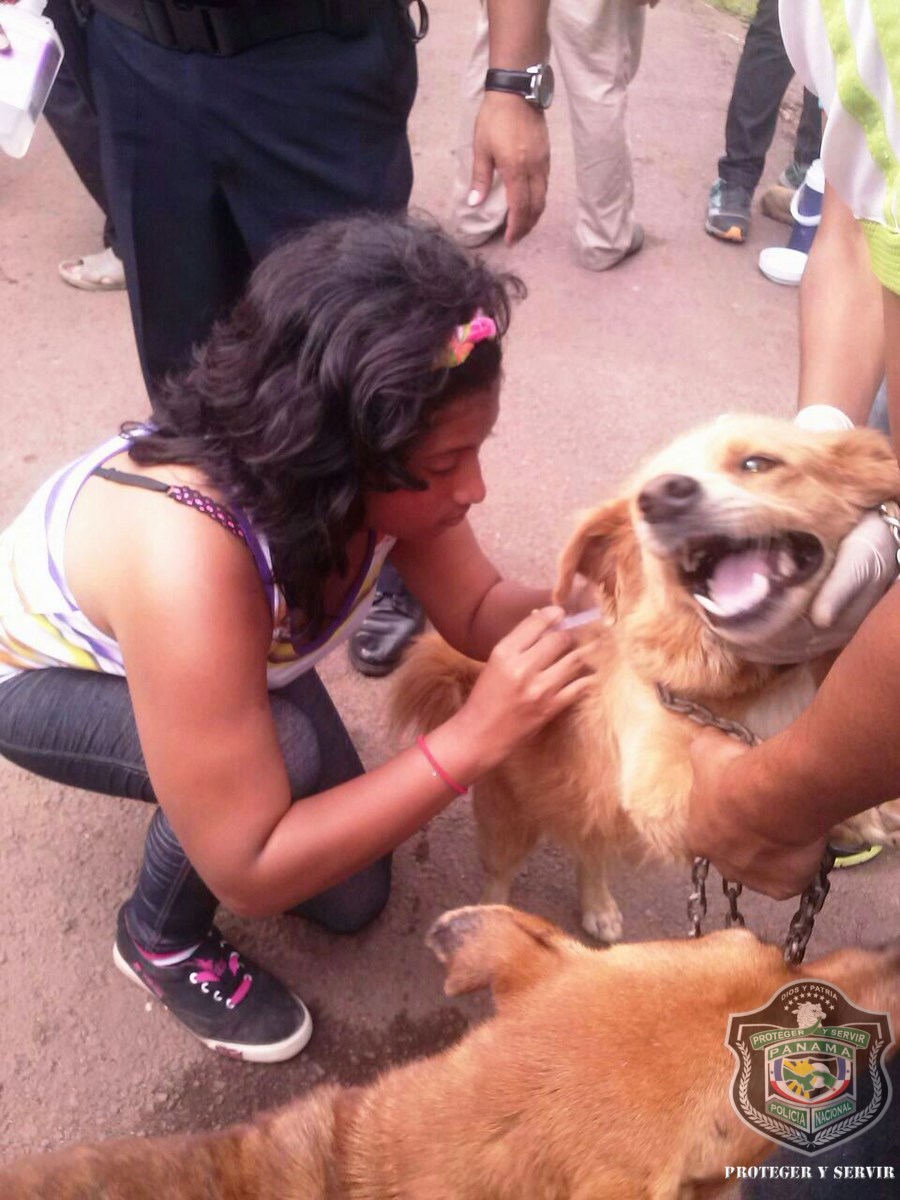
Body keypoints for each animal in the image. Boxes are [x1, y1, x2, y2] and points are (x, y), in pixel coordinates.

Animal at [392, 415, 900, 941]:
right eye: (639, 500)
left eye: (758, 463)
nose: (660, 495)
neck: (752, 680)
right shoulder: (657, 783)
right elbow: (756, 792)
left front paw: (868, 810)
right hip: (509, 823)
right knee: (500, 878)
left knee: (590, 852)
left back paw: (598, 906)